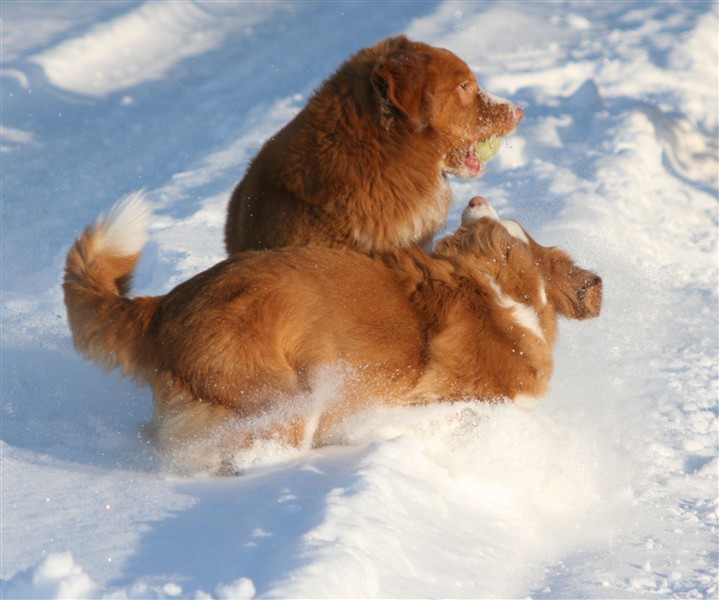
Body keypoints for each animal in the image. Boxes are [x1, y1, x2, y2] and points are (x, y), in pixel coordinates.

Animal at [64, 192, 601, 474]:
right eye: (506, 227)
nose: (476, 197)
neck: (500, 297)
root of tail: (162, 306)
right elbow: (455, 414)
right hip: (284, 400)